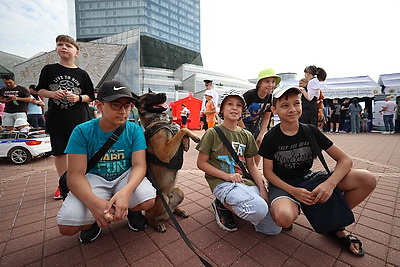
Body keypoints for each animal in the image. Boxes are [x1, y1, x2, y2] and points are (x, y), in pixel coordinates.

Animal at [138, 91, 202, 232]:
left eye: (154, 93)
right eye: (148, 96)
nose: (163, 94)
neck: (159, 120)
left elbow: (180, 130)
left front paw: (186, 142)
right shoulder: (164, 153)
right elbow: (183, 129)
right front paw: (194, 137)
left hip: (179, 190)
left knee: (172, 210)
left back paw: (179, 210)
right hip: (162, 200)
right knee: (148, 217)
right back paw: (157, 224)